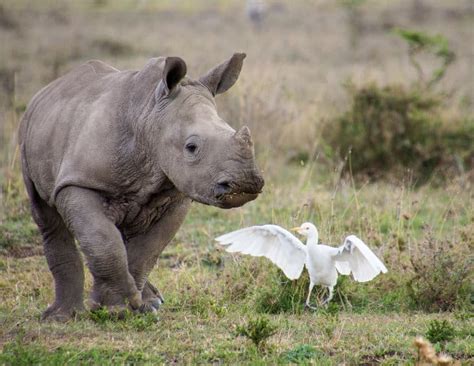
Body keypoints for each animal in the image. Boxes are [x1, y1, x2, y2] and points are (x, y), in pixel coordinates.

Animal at [19, 52, 262, 320]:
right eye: (191, 147)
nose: (246, 183)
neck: (148, 117)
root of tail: (46, 91)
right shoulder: (79, 182)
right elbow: (103, 241)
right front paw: (115, 309)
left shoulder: (178, 195)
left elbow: (149, 249)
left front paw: (136, 307)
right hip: (29, 135)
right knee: (47, 218)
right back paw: (61, 316)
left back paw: (151, 301)